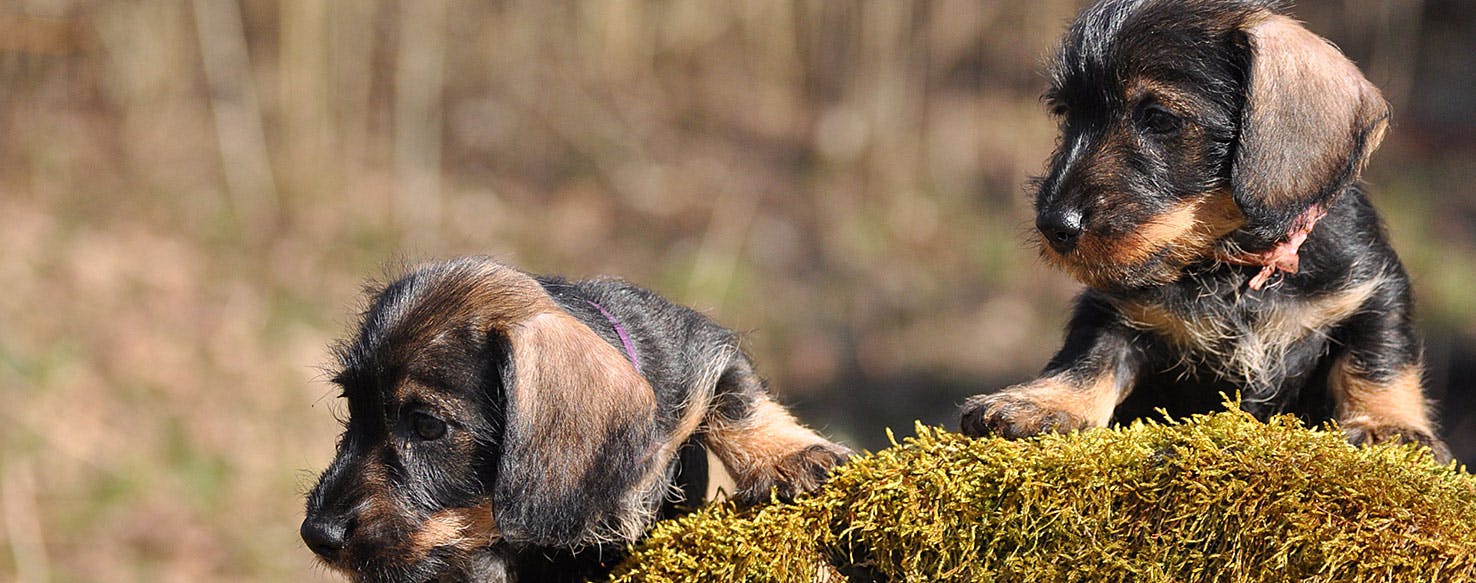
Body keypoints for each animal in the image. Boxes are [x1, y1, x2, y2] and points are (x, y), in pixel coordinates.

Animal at [302, 258, 856, 581]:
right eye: (352, 409)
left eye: (427, 426)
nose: (316, 534)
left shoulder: (703, 353)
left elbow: (740, 405)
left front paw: (792, 457)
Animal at [956, 1, 1452, 466]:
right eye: (1066, 114)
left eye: (1158, 118)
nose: (1055, 226)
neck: (1234, 268)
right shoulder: (1114, 309)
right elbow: (1089, 357)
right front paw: (1039, 403)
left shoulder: (1372, 289)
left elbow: (1378, 358)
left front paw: (1389, 424)